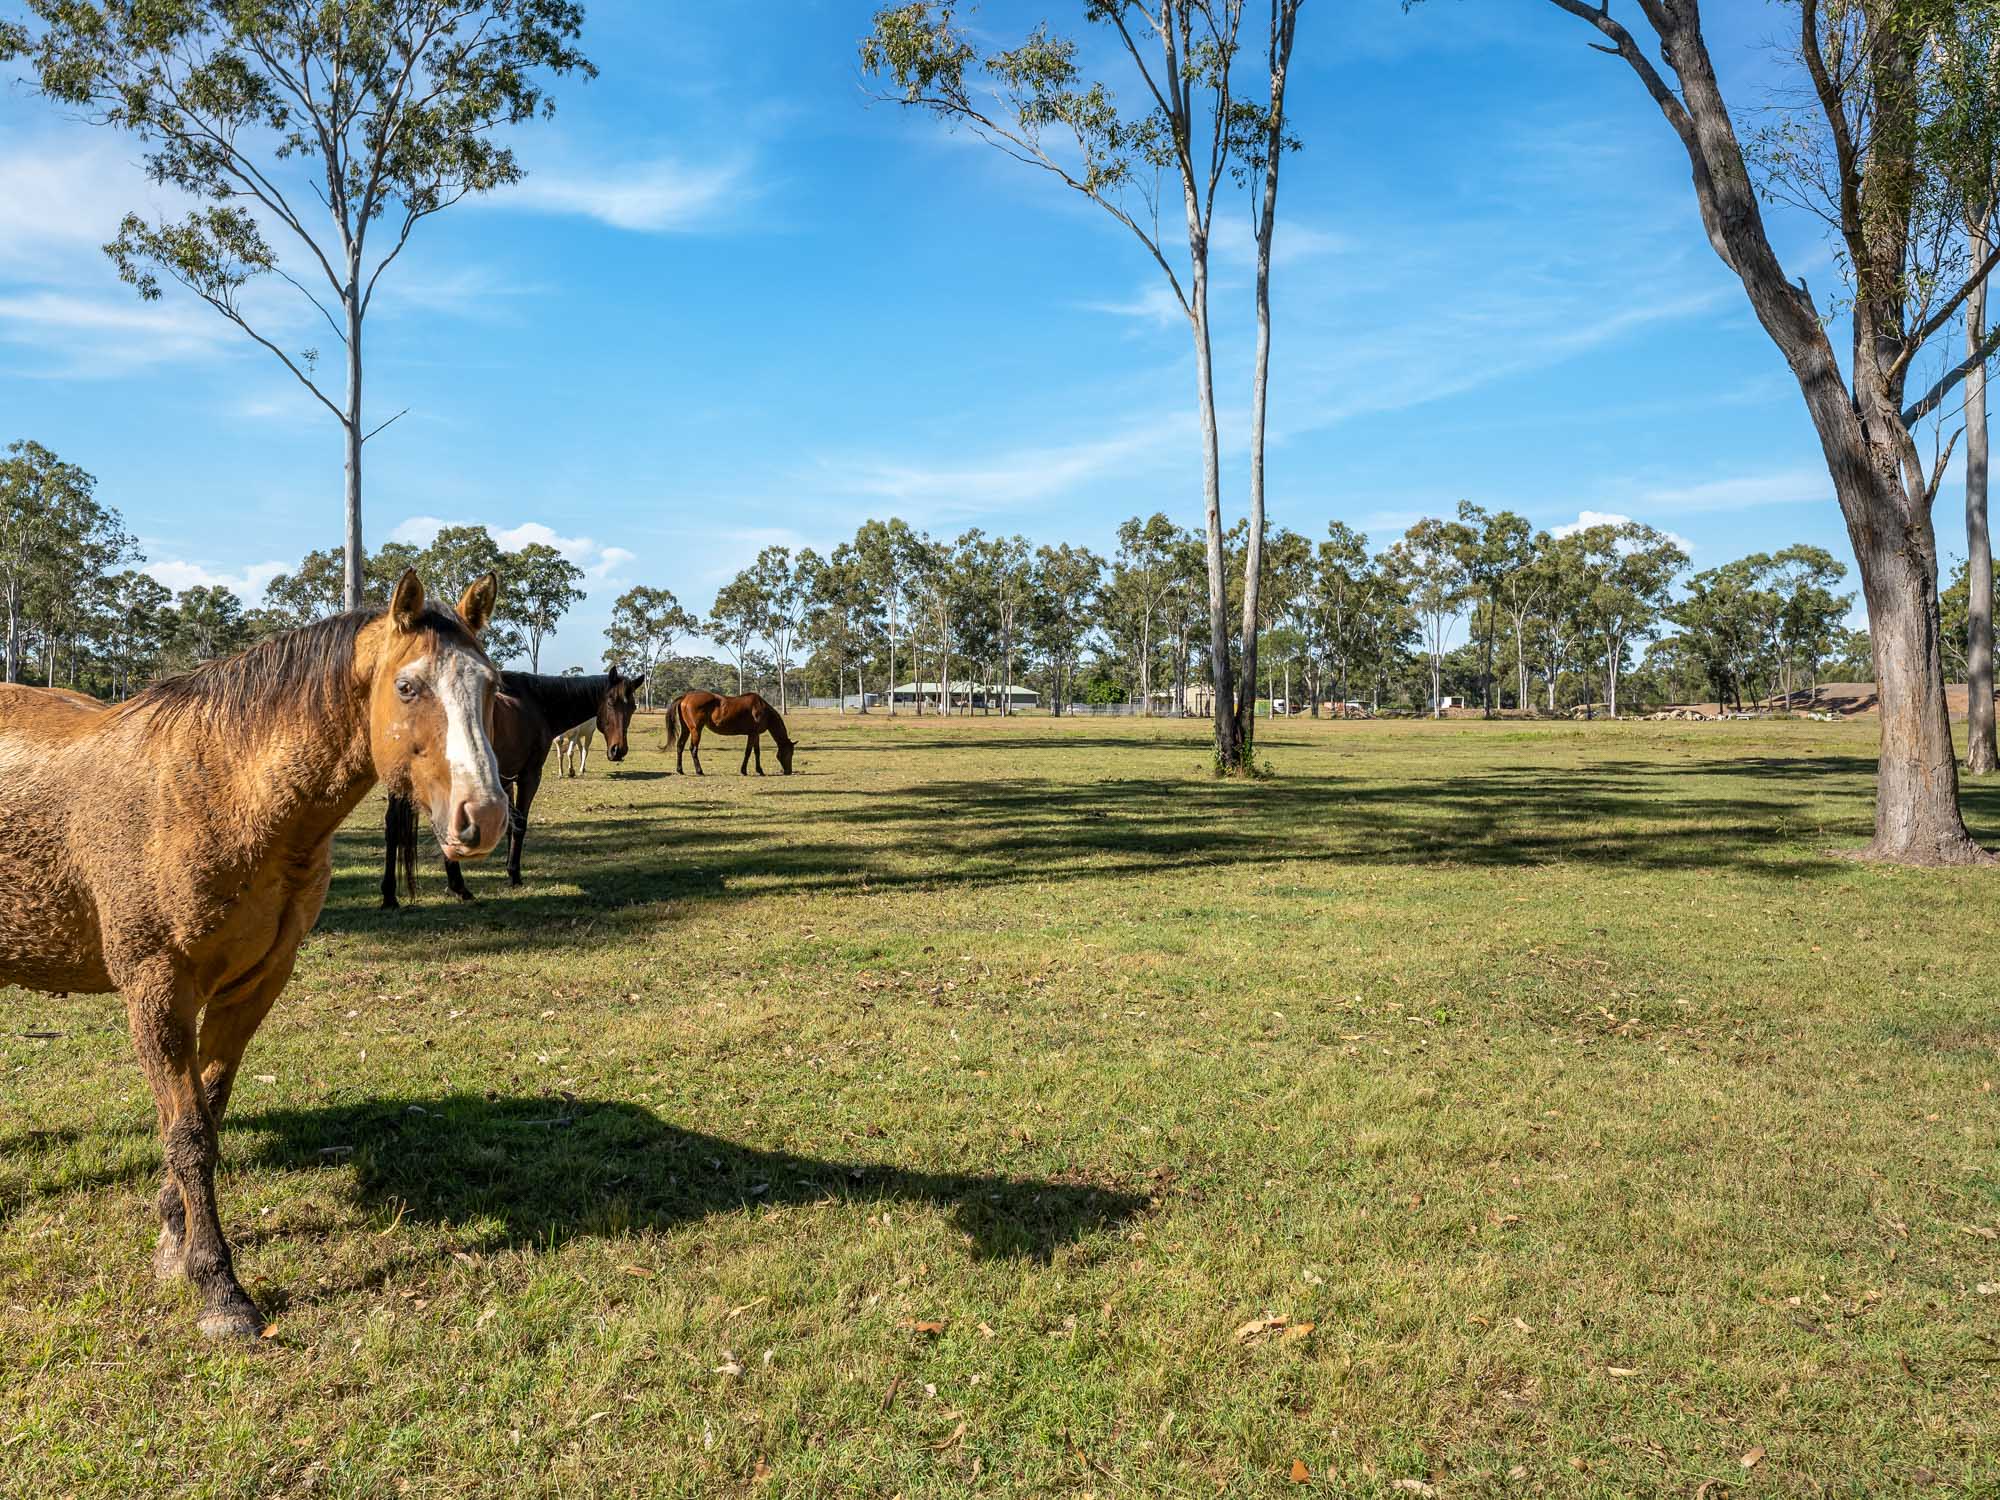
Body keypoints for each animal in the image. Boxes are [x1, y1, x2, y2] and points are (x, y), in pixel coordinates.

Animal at [0, 576, 512, 1336]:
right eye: (409, 686)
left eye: (491, 685)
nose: (485, 817)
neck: (220, 793)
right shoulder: (156, 990)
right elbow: (187, 1133)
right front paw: (220, 1289)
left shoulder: (253, 986)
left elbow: (206, 1115)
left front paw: (174, 1244)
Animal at [380, 668, 640, 904]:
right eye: (610, 701)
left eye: (633, 707)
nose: (618, 750)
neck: (538, 703)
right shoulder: (529, 776)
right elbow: (520, 824)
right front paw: (514, 874)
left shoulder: (506, 780)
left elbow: (510, 823)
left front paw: (508, 867)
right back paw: (458, 887)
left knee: (393, 826)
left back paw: (390, 894)